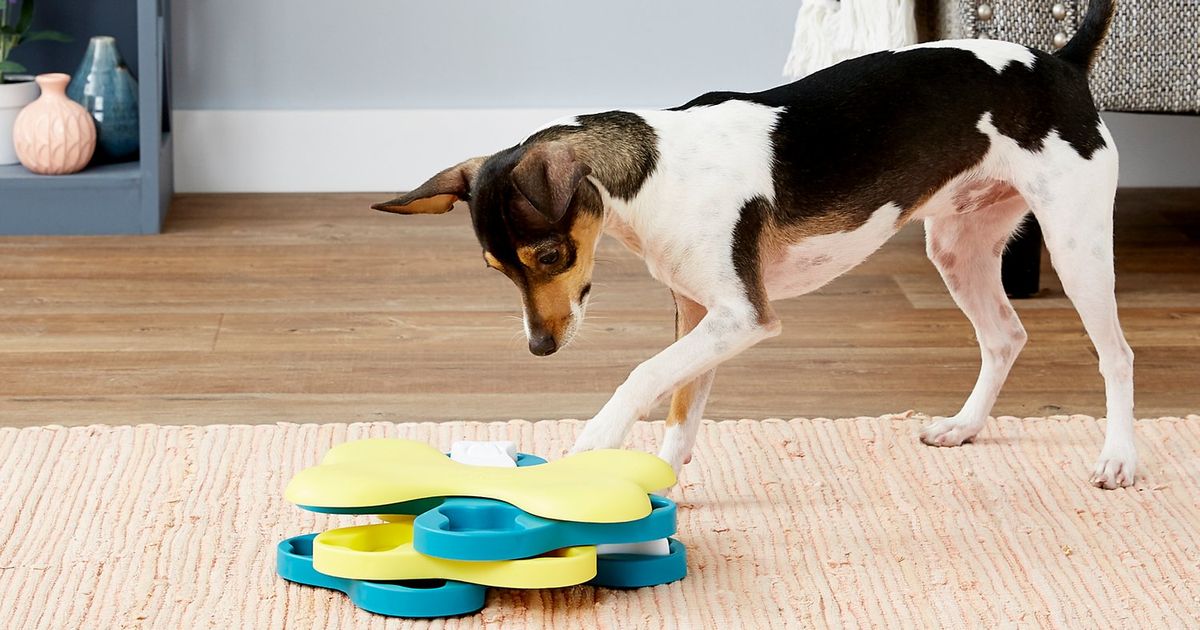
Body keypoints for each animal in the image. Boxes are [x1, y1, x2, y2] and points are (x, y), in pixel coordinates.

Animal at [376, 1, 1132, 487]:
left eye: (550, 258)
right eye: (497, 271)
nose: (539, 348)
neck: (658, 174)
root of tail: (1060, 64)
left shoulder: (743, 318)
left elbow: (644, 375)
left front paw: (597, 440)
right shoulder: (700, 315)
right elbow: (681, 407)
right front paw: (660, 482)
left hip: (1077, 249)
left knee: (1116, 355)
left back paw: (1119, 458)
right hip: (957, 247)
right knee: (1005, 336)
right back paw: (964, 427)